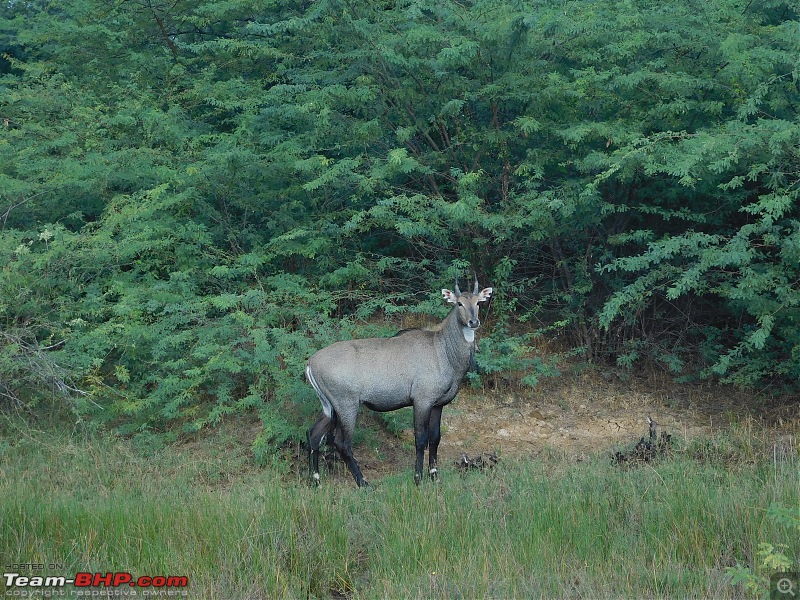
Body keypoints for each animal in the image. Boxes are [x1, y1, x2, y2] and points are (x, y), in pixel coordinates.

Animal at [308, 276, 490, 488]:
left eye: (478, 303)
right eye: (459, 303)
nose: (473, 322)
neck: (443, 350)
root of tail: (310, 363)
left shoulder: (438, 404)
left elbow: (436, 438)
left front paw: (435, 475)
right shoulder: (422, 400)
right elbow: (421, 439)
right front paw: (418, 478)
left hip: (329, 407)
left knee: (313, 434)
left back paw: (316, 480)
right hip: (347, 405)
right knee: (341, 443)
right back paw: (363, 483)